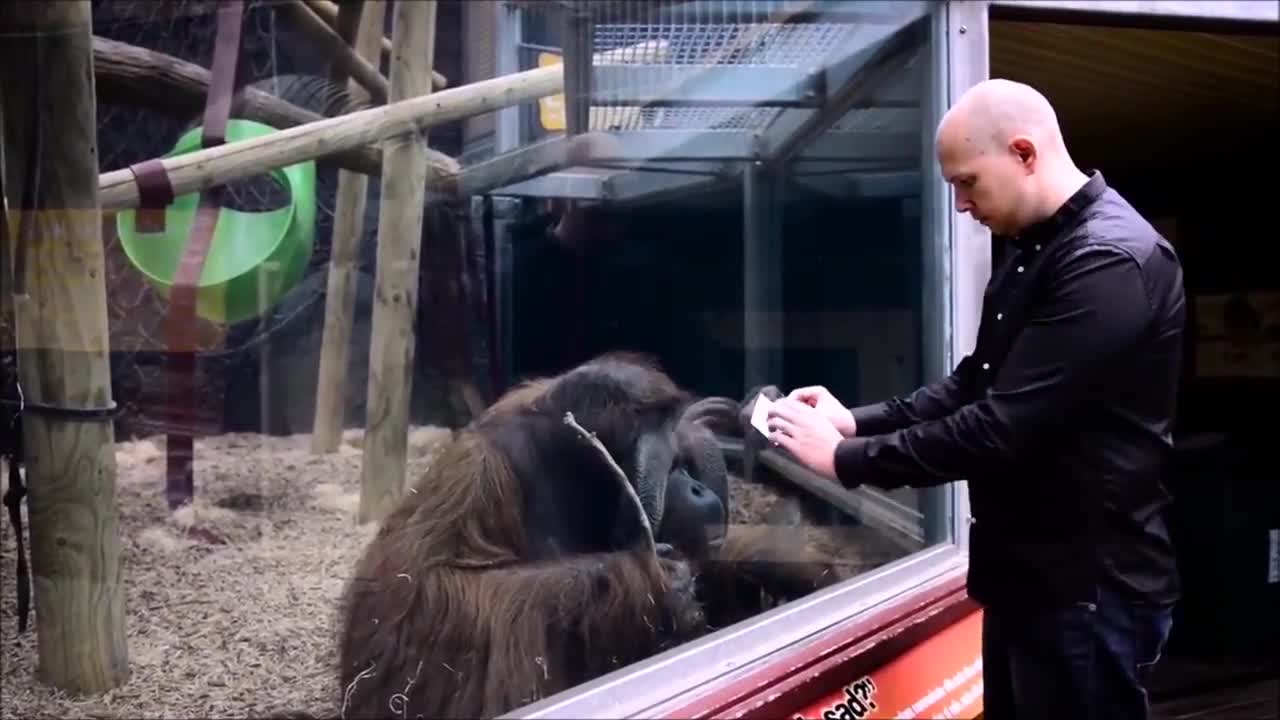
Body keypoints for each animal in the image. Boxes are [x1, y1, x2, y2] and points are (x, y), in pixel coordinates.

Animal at [332, 352, 843, 720]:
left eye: (684, 464)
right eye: (672, 468)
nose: (698, 487)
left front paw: (777, 560)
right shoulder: (477, 475)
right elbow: (415, 606)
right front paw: (654, 578)